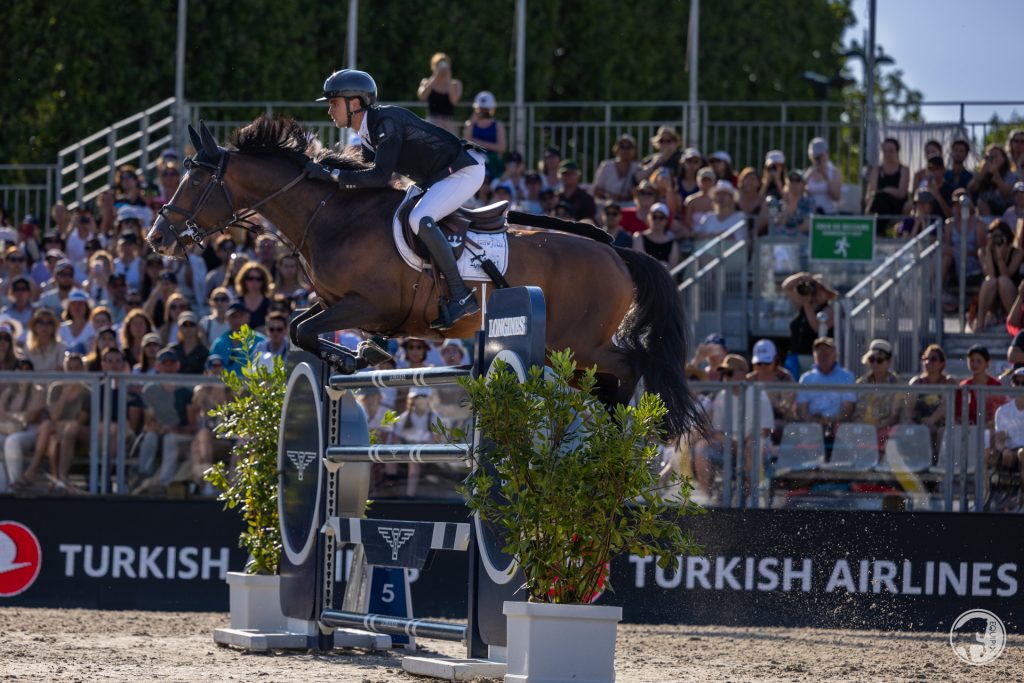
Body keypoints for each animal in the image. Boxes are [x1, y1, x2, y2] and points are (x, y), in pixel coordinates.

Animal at [144, 116, 704, 438]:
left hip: (579, 344)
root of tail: (617, 253)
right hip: (563, 353)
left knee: (630, 365)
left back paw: (623, 428)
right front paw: (362, 356)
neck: (330, 215)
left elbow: (305, 331)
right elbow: (304, 326)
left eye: (195, 180)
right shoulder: (336, 301)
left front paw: (359, 356)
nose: (157, 238)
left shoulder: (367, 303)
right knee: (610, 376)